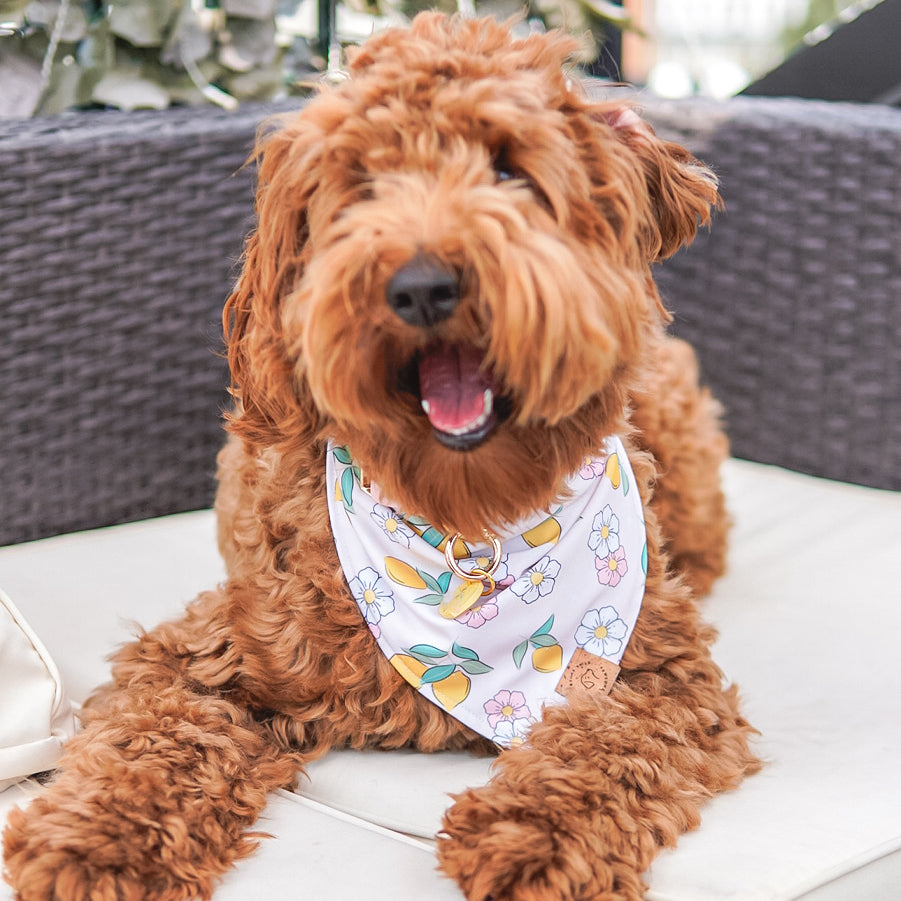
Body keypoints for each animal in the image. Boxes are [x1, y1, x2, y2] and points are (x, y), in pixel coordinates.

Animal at [3, 14, 756, 900]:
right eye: (360, 184)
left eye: (509, 166)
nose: (422, 286)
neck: (465, 525)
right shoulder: (201, 653)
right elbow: (152, 740)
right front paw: (91, 841)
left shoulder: (662, 675)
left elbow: (602, 741)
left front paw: (531, 835)